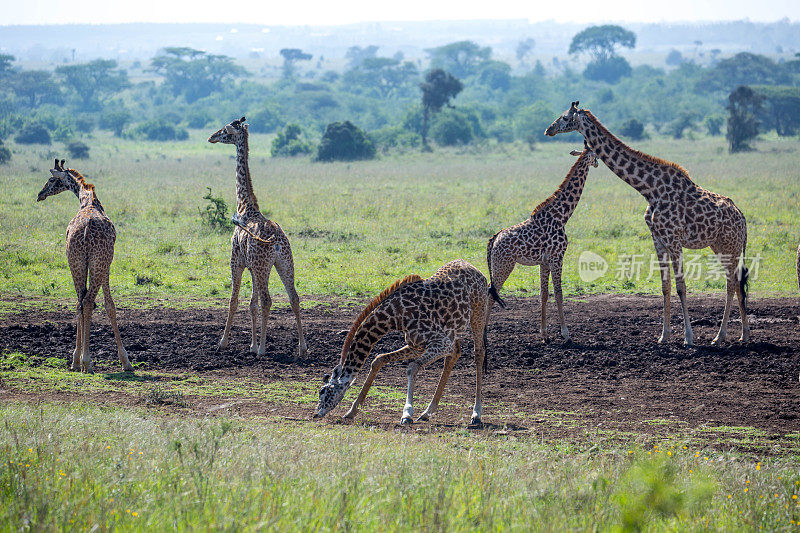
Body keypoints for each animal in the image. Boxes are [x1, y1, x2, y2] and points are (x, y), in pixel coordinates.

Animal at [36, 160, 131, 372]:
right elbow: (110, 306)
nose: (40, 194)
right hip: (98, 262)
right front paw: (125, 361)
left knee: (80, 302)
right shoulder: (108, 264)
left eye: (51, 180)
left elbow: (82, 303)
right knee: (87, 302)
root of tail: (87, 231)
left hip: (75, 261)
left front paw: (75, 359)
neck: (88, 201)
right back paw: (87, 362)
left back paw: (77, 361)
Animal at [208, 116, 308, 358]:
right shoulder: (253, 266)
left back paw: (263, 349)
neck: (244, 206)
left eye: (225, 131)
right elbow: (251, 303)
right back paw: (302, 347)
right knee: (294, 297)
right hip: (284, 264)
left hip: (264, 266)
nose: (211, 137)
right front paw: (251, 345)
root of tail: (277, 243)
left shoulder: (237, 260)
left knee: (268, 299)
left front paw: (223, 342)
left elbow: (234, 300)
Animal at [312, 260, 500, 426]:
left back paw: (476, 414)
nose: (316, 413)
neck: (396, 316)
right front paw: (351, 412)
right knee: (455, 354)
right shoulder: (417, 345)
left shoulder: (440, 342)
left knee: (478, 353)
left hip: (478, 313)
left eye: (323, 391)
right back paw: (427, 412)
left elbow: (412, 367)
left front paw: (407, 414)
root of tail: (479, 272)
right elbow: (379, 359)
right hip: (453, 330)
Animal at [484, 141, 596, 342]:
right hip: (504, 265)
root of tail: (493, 239)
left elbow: (544, 294)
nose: (598, 163)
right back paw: (484, 334)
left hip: (499, 265)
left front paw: (544, 334)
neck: (562, 215)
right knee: (491, 293)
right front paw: (565, 333)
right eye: (595, 154)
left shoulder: (543, 261)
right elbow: (559, 293)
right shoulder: (557, 257)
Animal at [544, 102, 752, 344]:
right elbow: (665, 286)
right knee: (736, 282)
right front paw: (664, 335)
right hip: (719, 246)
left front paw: (688, 337)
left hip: (731, 245)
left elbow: (681, 286)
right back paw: (743, 334)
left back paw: (720, 336)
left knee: (731, 283)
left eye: (564, 117)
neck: (650, 190)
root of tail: (742, 218)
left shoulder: (674, 238)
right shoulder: (658, 239)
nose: (548, 130)